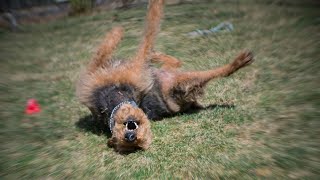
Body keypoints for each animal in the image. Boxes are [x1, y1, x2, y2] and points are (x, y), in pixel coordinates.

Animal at [76, 0, 254, 153]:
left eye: (132, 134)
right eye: (132, 141)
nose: (130, 136)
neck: (112, 101)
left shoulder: (102, 71)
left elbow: (113, 46)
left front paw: (117, 32)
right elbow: (147, 35)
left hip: (169, 74)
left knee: (170, 58)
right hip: (178, 80)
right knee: (213, 71)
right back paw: (239, 61)